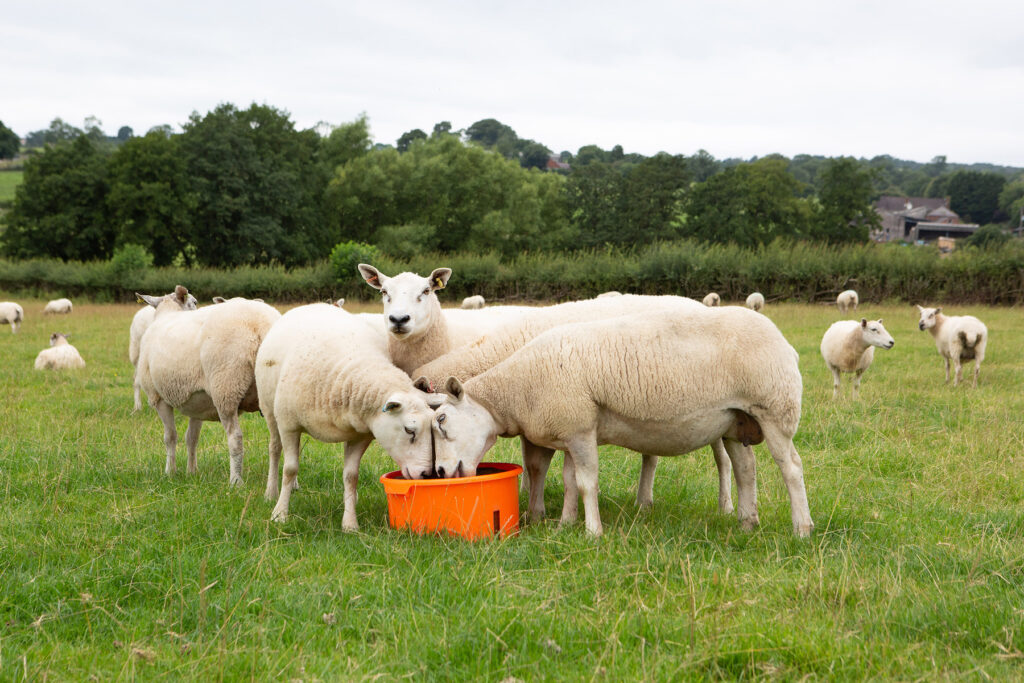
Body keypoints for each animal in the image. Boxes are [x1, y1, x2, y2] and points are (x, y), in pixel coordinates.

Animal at [135, 286, 284, 483]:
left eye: (195, 302)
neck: (168, 312)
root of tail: (260, 323)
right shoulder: (197, 402)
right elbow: (192, 437)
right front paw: (192, 472)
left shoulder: (158, 398)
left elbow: (170, 437)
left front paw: (170, 472)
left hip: (226, 388)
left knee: (235, 437)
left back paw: (235, 481)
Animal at [256, 301, 436, 528]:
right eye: (409, 430)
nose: (425, 474)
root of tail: (314, 304)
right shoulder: (289, 425)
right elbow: (289, 469)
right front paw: (280, 514)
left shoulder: (361, 436)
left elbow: (351, 477)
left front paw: (350, 523)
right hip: (271, 411)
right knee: (275, 449)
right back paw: (271, 492)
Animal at [409, 294, 737, 524]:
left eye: (439, 421)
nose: (438, 473)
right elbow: (540, 466)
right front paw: (539, 507)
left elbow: (538, 466)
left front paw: (537, 509)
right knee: (651, 456)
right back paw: (644, 501)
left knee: (723, 460)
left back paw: (726, 505)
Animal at [428, 305, 811, 540]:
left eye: (443, 419)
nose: (441, 473)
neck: (518, 388)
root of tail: (787, 345)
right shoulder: (573, 429)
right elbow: (570, 482)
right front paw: (566, 524)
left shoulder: (581, 430)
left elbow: (586, 484)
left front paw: (592, 532)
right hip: (735, 421)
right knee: (746, 470)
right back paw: (747, 523)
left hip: (774, 408)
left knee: (791, 468)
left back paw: (802, 528)